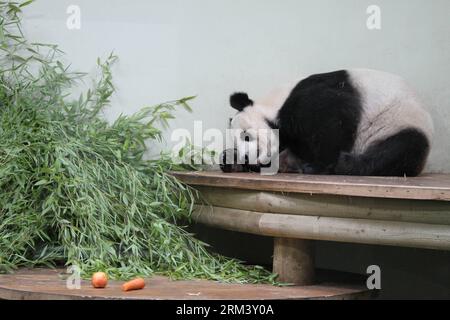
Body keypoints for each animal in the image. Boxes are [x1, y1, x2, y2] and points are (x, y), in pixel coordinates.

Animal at [223, 68, 434, 176]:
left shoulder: (313, 100)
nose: (246, 157)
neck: (275, 103)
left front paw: (319, 166)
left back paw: (345, 164)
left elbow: (333, 124)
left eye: (247, 137)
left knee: (398, 151)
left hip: (399, 123)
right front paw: (230, 159)